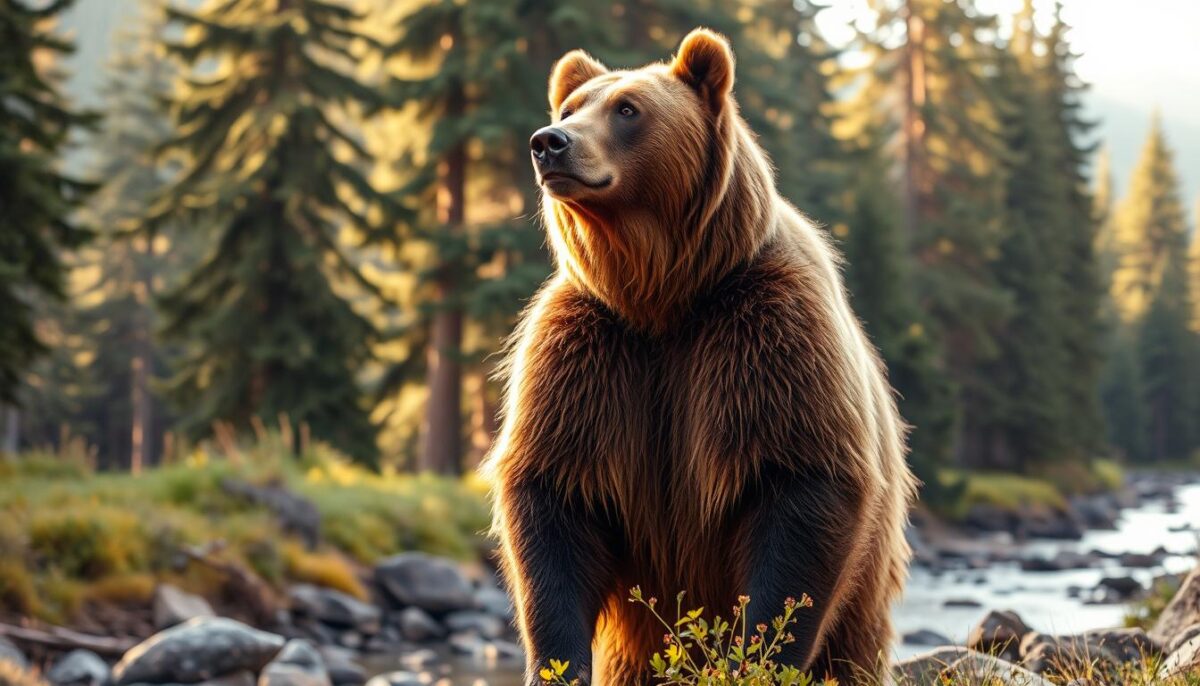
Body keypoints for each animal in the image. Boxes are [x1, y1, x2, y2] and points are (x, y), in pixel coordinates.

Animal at [483, 28, 917, 686]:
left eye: (628, 109)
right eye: (570, 107)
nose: (549, 143)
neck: (664, 292)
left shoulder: (767, 333)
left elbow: (802, 481)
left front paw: (760, 653)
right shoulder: (588, 352)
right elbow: (555, 494)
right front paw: (557, 664)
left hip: (868, 582)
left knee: (853, 645)